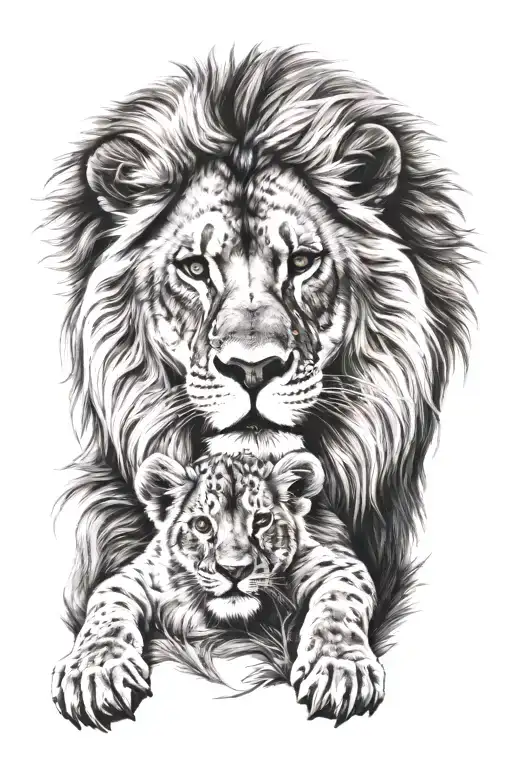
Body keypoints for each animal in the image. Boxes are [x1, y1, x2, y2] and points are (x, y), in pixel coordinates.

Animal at [46, 46, 473, 721]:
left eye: (301, 261)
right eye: (195, 267)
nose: (252, 367)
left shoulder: (331, 561)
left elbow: (340, 594)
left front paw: (338, 666)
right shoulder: (136, 570)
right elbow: (108, 598)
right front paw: (95, 668)